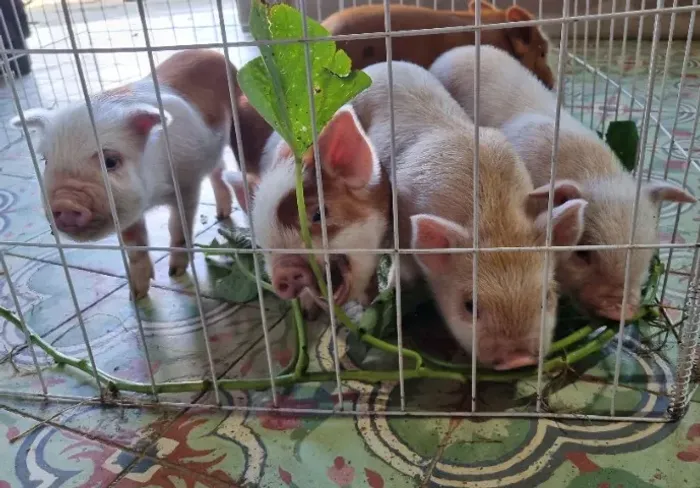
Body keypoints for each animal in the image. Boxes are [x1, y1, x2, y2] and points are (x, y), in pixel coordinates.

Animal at [11, 49, 236, 300]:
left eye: (110, 161)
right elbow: (134, 245)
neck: (154, 195)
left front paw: (174, 273)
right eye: (46, 160)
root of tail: (209, 51)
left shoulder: (187, 184)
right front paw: (136, 296)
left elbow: (178, 228)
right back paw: (220, 214)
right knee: (219, 170)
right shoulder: (126, 209)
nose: (65, 202)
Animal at [347, 61, 587, 369]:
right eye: (469, 306)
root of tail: (378, 66)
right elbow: (403, 262)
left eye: (547, 297)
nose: (517, 359)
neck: (494, 218)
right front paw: (396, 285)